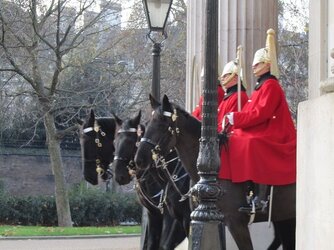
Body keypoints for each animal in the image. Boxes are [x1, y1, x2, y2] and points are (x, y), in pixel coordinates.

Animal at [111, 111, 190, 250]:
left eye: (130, 142)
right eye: (115, 142)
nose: (118, 175)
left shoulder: (176, 218)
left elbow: (165, 245)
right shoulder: (154, 214)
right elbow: (153, 243)